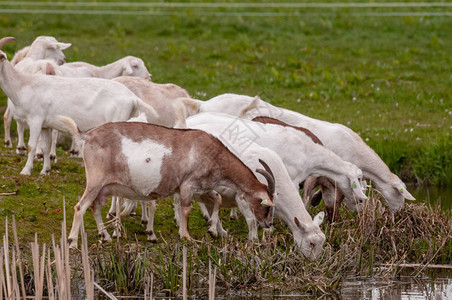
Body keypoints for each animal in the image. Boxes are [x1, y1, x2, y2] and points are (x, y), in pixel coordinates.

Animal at [0, 37, 161, 177]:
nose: (148, 77)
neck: (24, 84)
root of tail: (132, 97)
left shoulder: (35, 120)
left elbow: (32, 145)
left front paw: (26, 170)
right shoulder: (45, 125)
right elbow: (45, 147)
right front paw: (45, 170)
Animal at [56, 116, 276, 250]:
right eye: (267, 207)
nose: (268, 224)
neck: (213, 153)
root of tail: (87, 135)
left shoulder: (201, 188)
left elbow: (217, 199)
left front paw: (213, 231)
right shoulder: (188, 185)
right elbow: (186, 209)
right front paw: (187, 236)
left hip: (103, 187)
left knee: (94, 206)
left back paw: (106, 236)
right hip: (96, 180)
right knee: (80, 206)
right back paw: (72, 242)